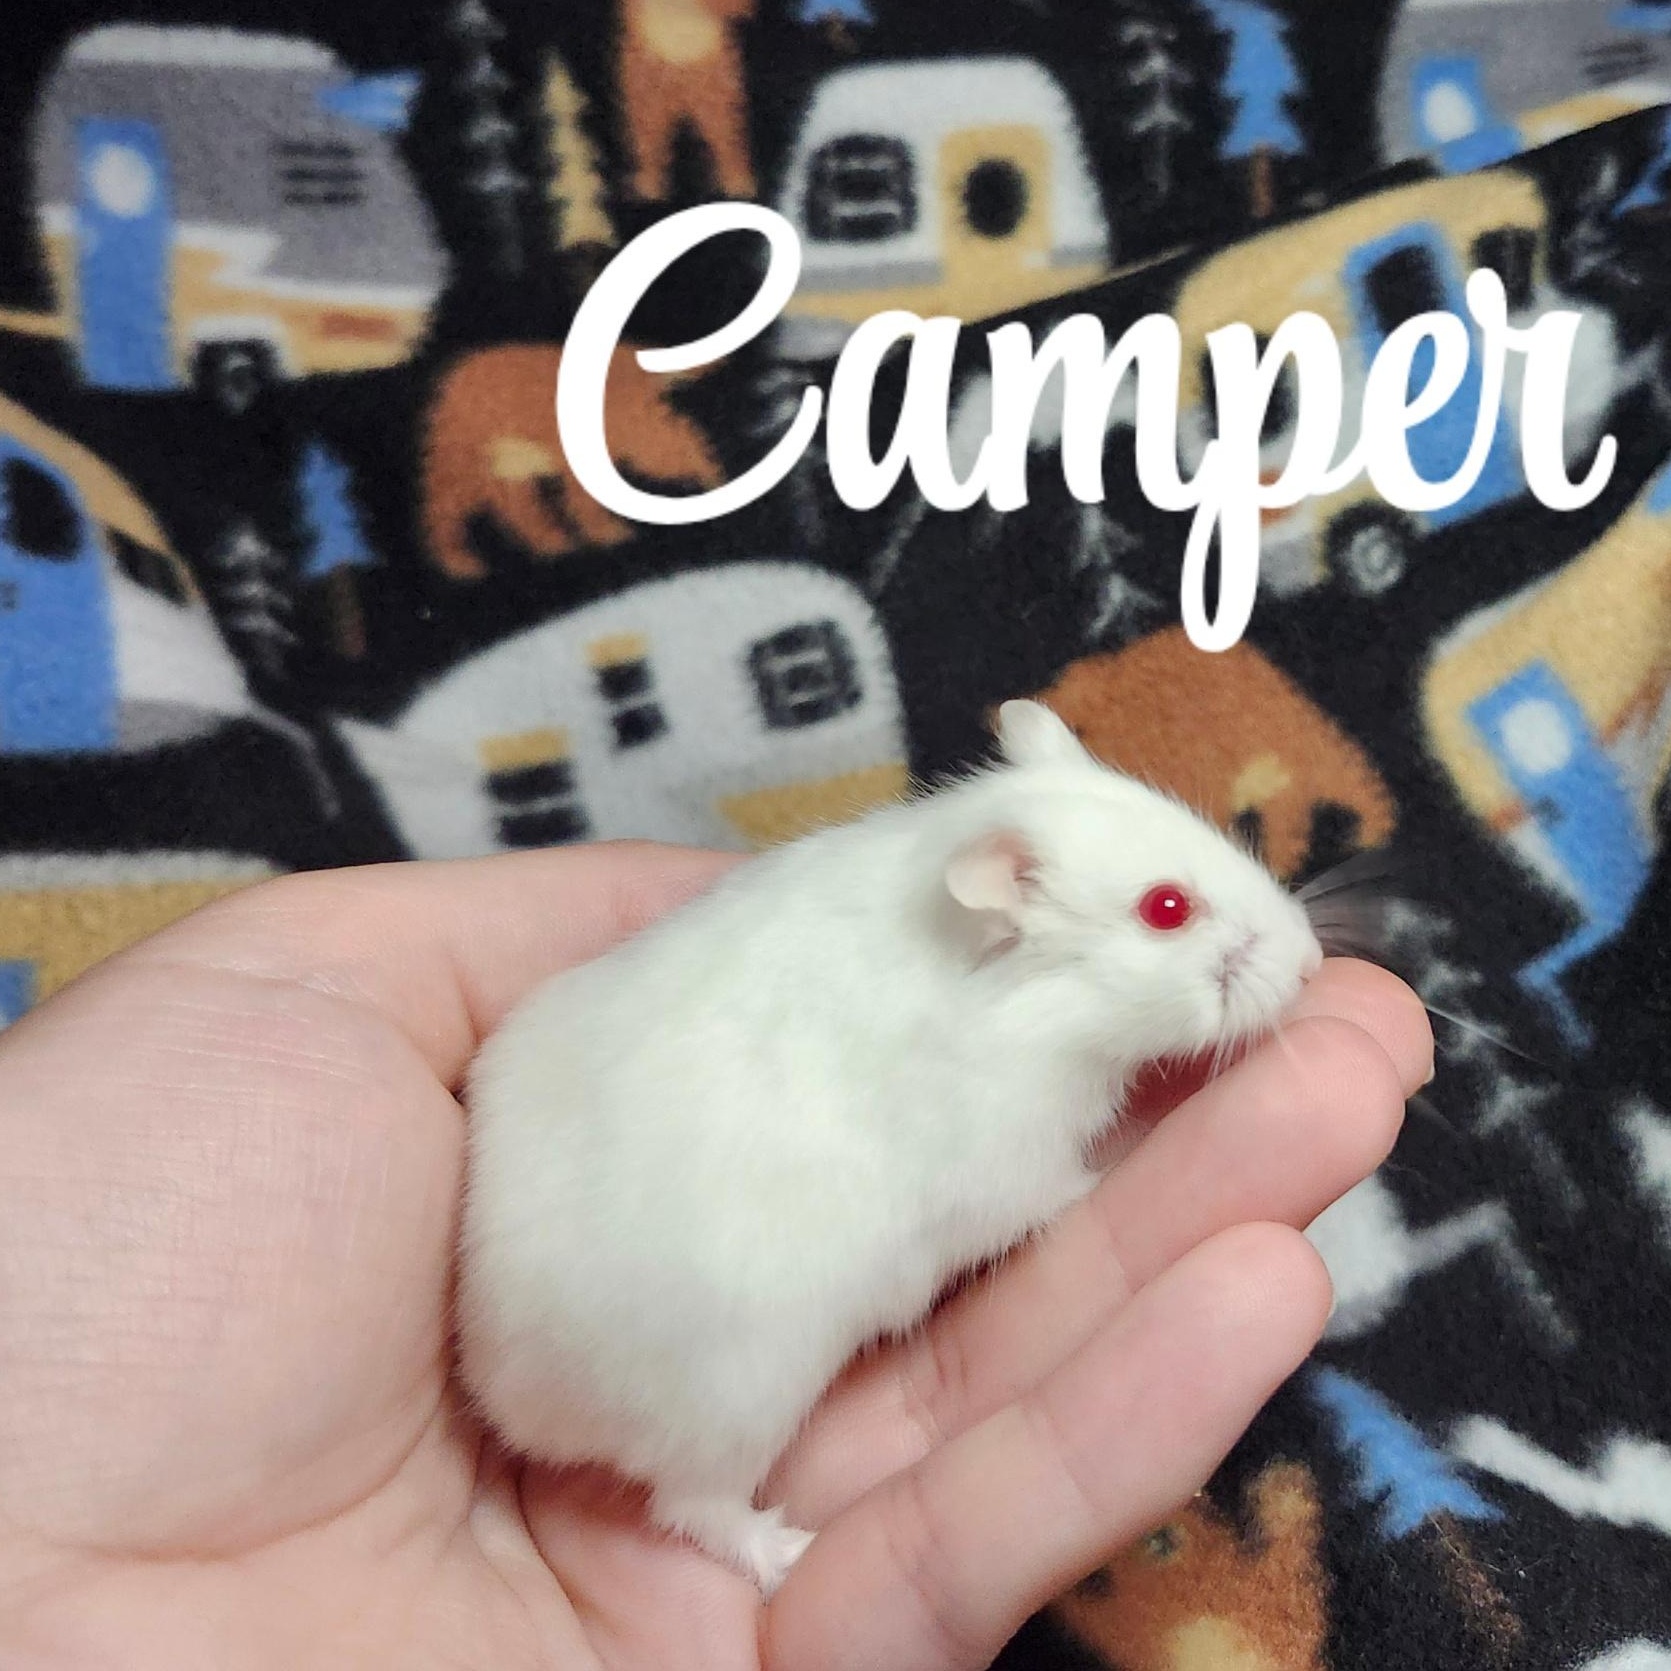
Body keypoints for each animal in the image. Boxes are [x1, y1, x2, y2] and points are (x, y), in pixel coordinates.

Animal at [455, 699, 1324, 1595]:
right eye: (1165, 908)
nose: (1313, 963)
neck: (1038, 1004)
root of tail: (512, 1400)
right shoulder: (1008, 1159)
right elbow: (1058, 1189)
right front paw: (1111, 1168)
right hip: (738, 1401)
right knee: (694, 1507)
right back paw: (789, 1550)